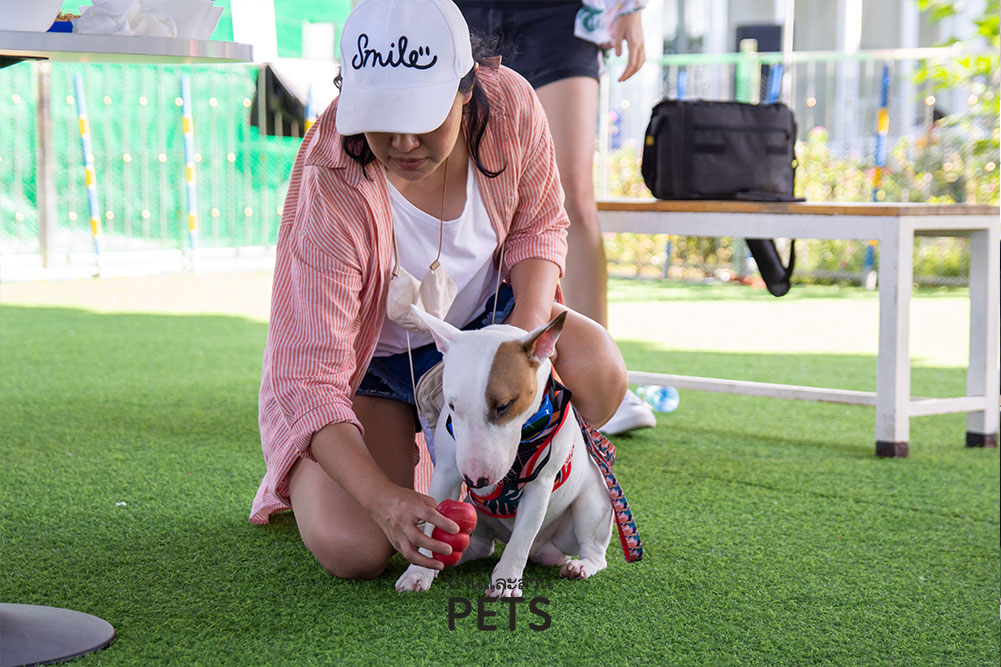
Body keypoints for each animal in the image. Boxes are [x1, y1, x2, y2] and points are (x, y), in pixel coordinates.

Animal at [395, 308, 639, 598]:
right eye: (452, 406)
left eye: (503, 406)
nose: (475, 480)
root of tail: (544, 549)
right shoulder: (446, 472)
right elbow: (434, 523)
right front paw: (419, 571)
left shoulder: (540, 484)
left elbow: (521, 537)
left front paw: (506, 583)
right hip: (476, 512)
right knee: (483, 545)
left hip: (593, 502)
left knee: (594, 551)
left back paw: (580, 566)